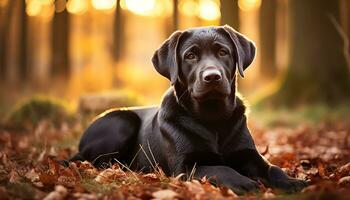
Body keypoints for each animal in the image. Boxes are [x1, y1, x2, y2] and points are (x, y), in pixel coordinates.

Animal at [71, 25, 306, 194]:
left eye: (223, 52)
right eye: (190, 56)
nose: (212, 76)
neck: (213, 117)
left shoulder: (249, 155)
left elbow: (272, 167)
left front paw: (292, 181)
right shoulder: (184, 167)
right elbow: (221, 168)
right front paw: (243, 181)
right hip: (121, 122)